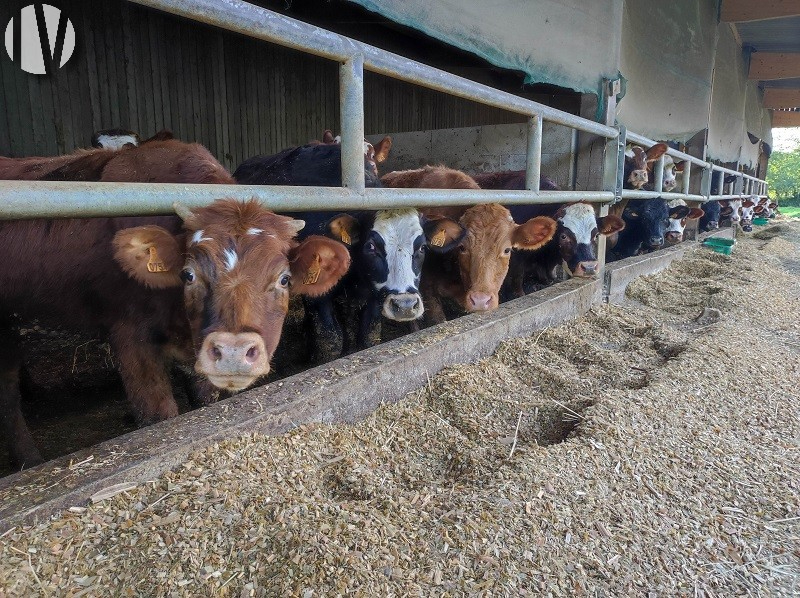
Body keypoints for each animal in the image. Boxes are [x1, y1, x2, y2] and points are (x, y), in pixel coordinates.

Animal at [0, 199, 350, 472]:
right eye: (188, 274)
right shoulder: (131, 338)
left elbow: (204, 398)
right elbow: (158, 414)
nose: (234, 352)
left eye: (285, 279)